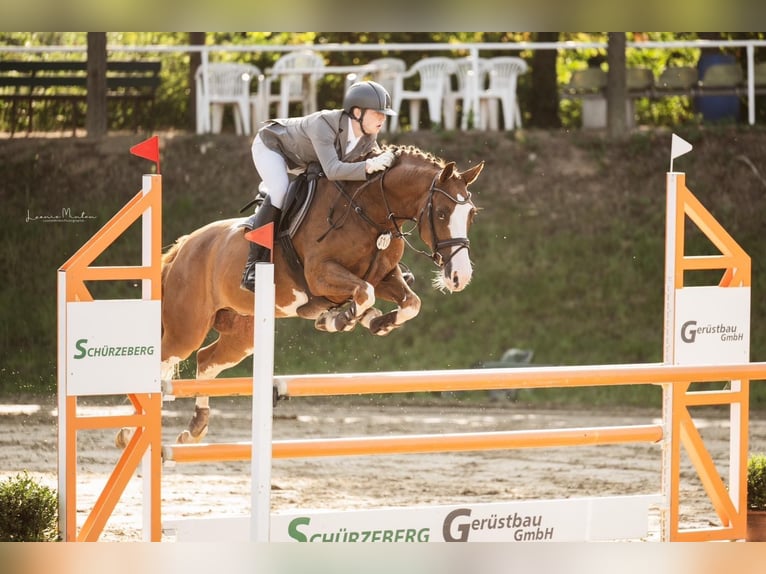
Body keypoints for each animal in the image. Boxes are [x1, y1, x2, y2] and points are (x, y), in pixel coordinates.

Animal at [152, 147, 480, 446]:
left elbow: (409, 302)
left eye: (471, 215)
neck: (367, 211)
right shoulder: (321, 274)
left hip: (241, 333)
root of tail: (184, 246)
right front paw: (339, 319)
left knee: (206, 360)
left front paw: (376, 322)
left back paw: (196, 427)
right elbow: (364, 293)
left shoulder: (385, 276)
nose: (460, 277)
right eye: (441, 213)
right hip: (187, 330)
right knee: (165, 359)